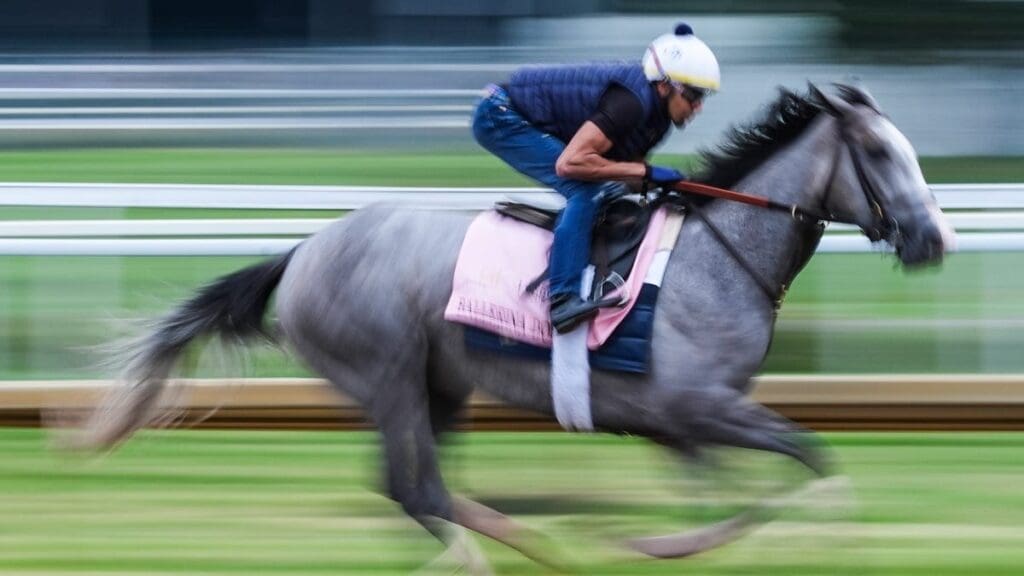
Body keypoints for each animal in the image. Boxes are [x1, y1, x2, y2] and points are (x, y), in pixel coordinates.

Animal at [67, 83, 954, 571]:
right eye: (882, 153)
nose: (935, 238)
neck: (718, 254)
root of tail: (303, 251)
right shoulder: (701, 406)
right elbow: (807, 462)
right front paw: (668, 546)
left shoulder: (684, 426)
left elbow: (749, 494)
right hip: (387, 371)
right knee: (416, 488)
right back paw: (509, 553)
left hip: (440, 384)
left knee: (417, 491)